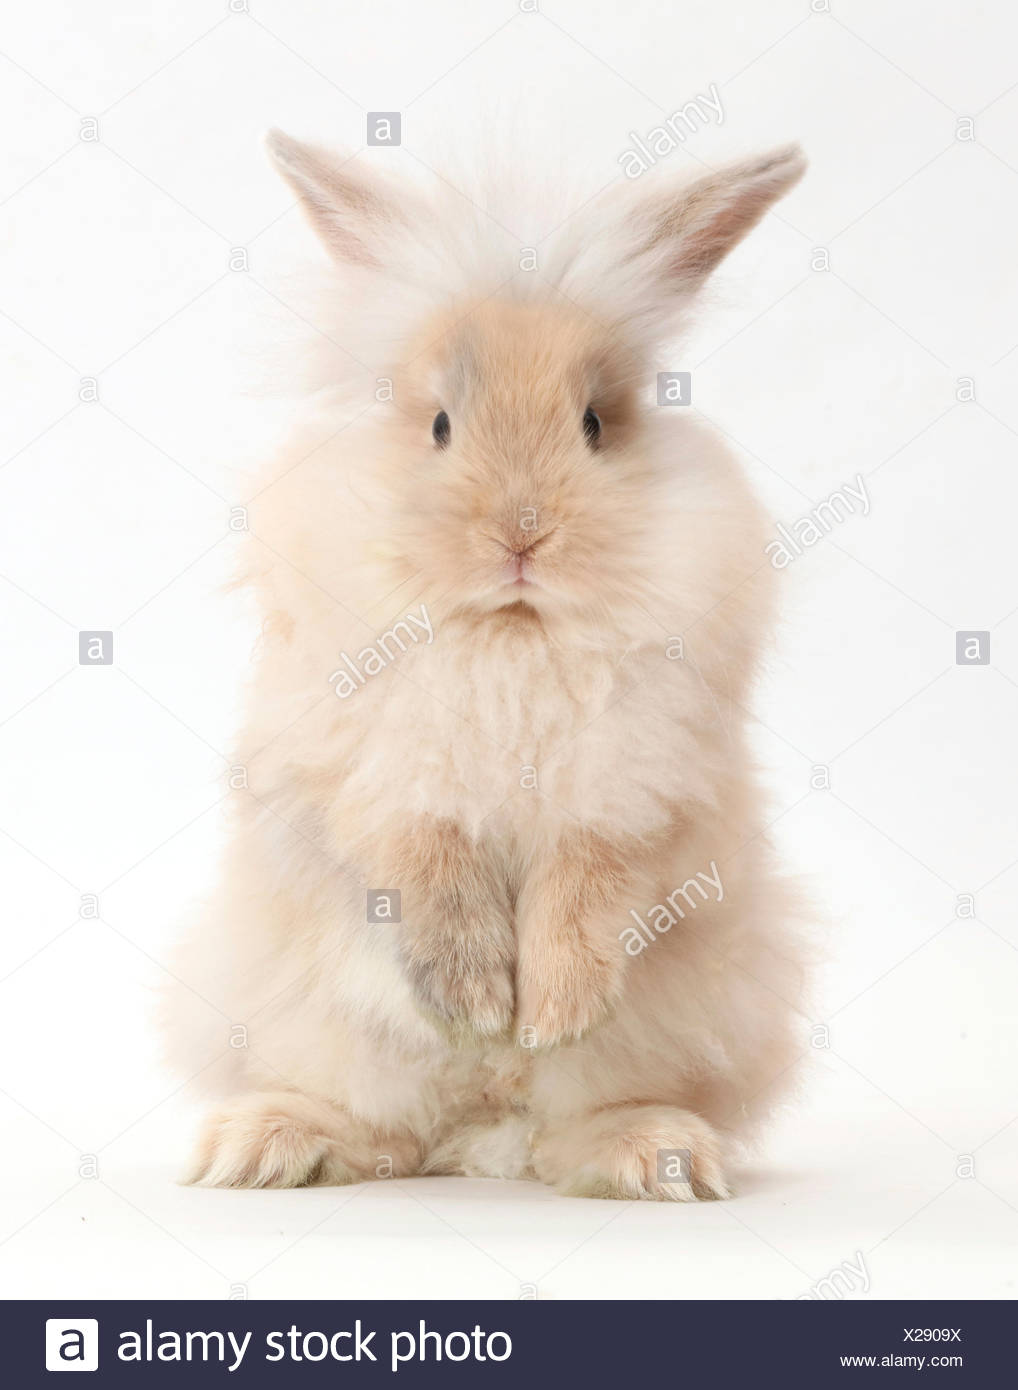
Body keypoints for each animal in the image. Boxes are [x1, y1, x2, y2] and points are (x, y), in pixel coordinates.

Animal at [164, 132, 810, 1201]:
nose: (522, 534)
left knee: (571, 1128)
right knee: (381, 1129)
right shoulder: (373, 785)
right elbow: (427, 869)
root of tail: (479, 1145)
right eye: (438, 426)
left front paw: (548, 1012)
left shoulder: (638, 797)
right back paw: (268, 1143)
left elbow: (588, 890)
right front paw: (474, 1000)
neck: (510, 635)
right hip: (311, 1018)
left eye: (595, 423)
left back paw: (653, 1154)